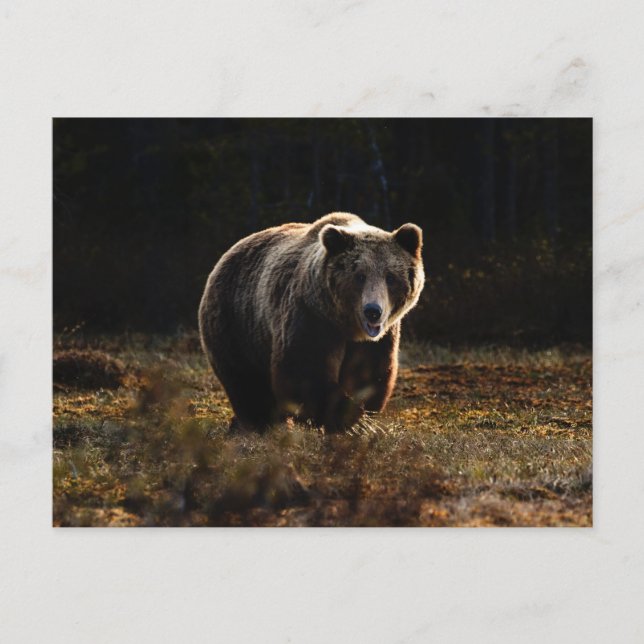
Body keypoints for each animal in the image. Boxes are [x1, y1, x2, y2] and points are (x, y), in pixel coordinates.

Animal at [198, 212, 425, 433]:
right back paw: (261, 423)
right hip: (236, 323)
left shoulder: (378, 339)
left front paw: (361, 417)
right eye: (360, 276)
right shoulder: (311, 317)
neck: (347, 326)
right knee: (246, 381)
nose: (373, 312)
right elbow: (304, 371)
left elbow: (369, 373)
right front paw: (353, 421)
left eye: (390, 277)